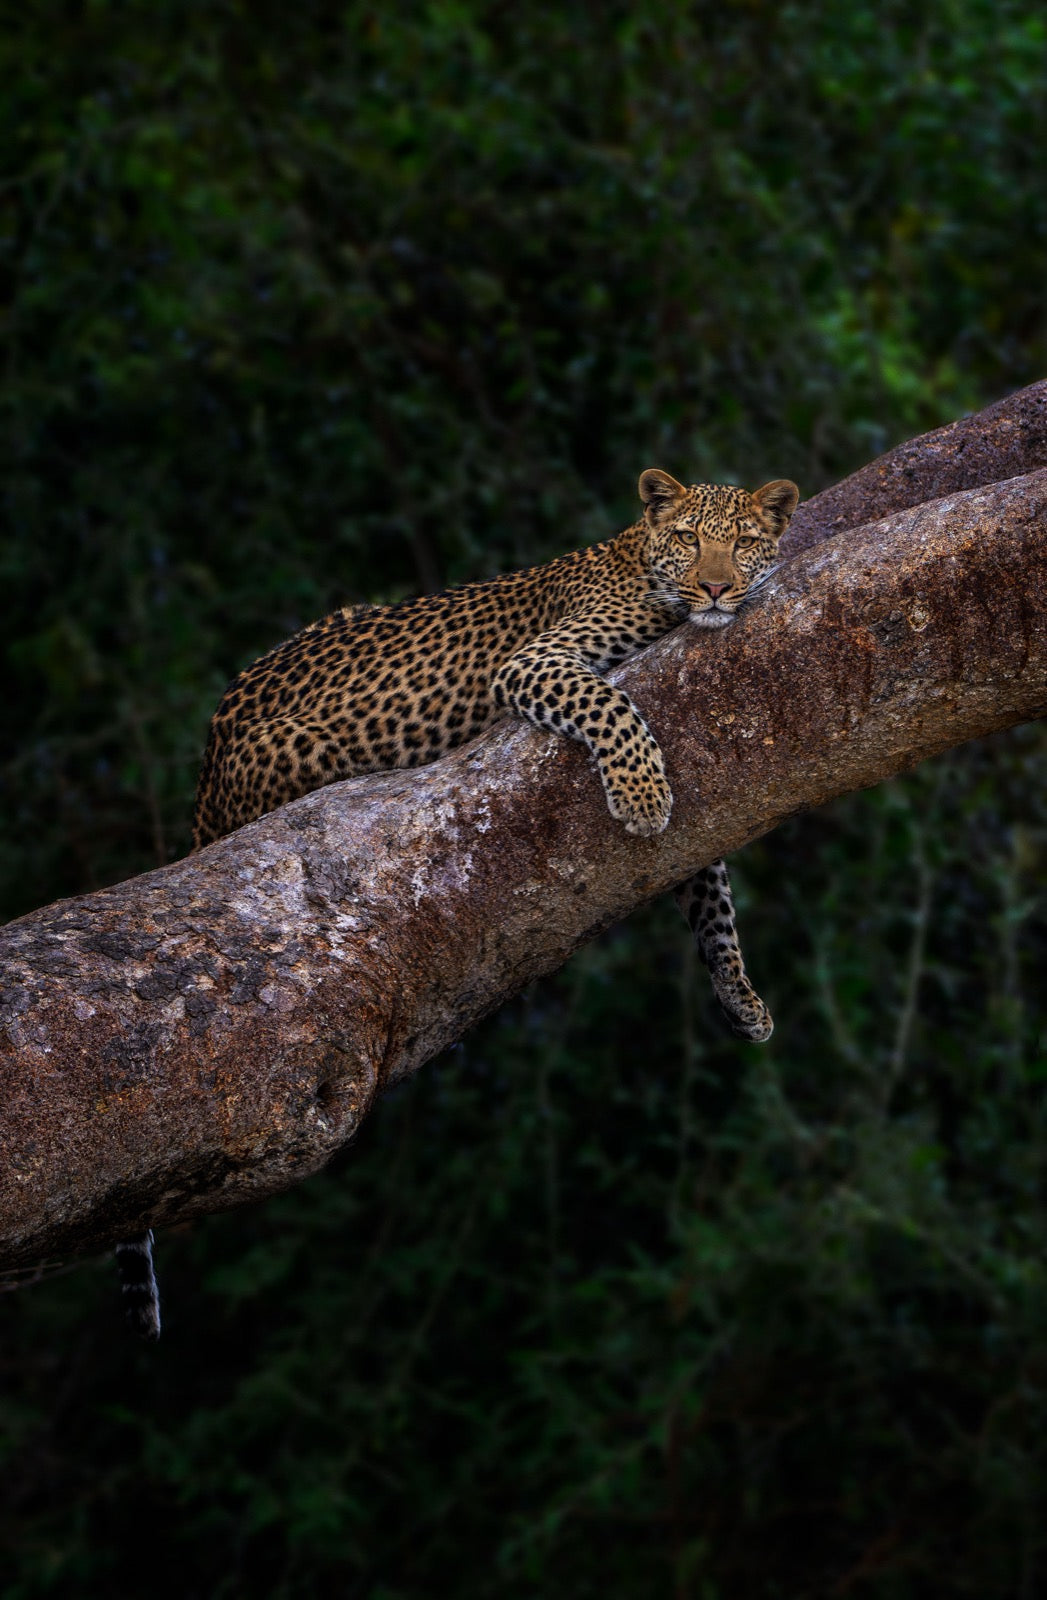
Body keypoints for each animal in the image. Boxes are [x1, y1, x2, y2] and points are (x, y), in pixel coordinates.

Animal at [116, 467, 799, 1338]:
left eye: (742, 542)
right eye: (687, 540)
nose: (714, 586)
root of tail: (205, 772)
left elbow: (708, 886)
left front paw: (740, 995)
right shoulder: (538, 660)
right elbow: (612, 708)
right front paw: (642, 794)